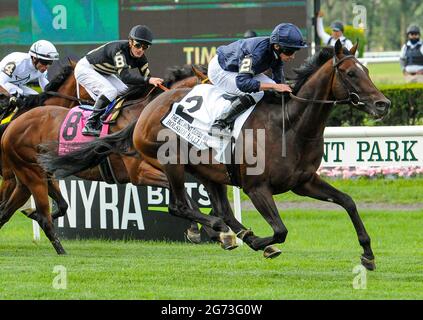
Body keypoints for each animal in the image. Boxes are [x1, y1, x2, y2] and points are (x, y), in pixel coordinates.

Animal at [0, 65, 219, 255]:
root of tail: (12, 127)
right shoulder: (139, 173)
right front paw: (208, 230)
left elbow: (184, 195)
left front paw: (205, 230)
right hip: (30, 174)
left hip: (30, 176)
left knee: (9, 210)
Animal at [42, 40, 390, 270]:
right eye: (351, 74)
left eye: (367, 70)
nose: (383, 104)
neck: (289, 124)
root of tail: (146, 111)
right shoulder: (257, 187)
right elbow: (280, 230)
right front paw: (260, 242)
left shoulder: (304, 182)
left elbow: (348, 202)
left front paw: (368, 254)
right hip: (171, 163)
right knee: (181, 205)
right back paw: (225, 232)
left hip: (211, 172)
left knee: (221, 209)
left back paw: (232, 233)